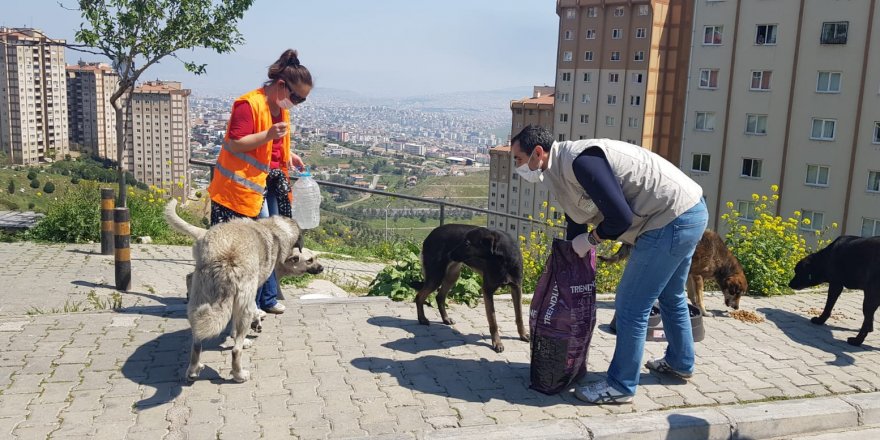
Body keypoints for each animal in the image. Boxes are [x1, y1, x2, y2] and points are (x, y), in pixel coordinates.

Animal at [165, 199, 324, 382]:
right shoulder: (254, 289)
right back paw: (239, 374)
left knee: (197, 342)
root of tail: (225, 255)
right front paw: (258, 318)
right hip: (242, 305)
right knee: (236, 350)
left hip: (200, 300)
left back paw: (193, 370)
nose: (322, 268)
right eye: (310, 260)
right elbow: (254, 307)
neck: (272, 229)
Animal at [600, 230, 748, 316]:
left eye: (740, 294)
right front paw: (705, 312)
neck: (722, 260)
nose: (736, 308)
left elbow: (692, 295)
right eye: (737, 293)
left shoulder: (690, 274)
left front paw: (695, 306)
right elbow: (700, 297)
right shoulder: (698, 276)